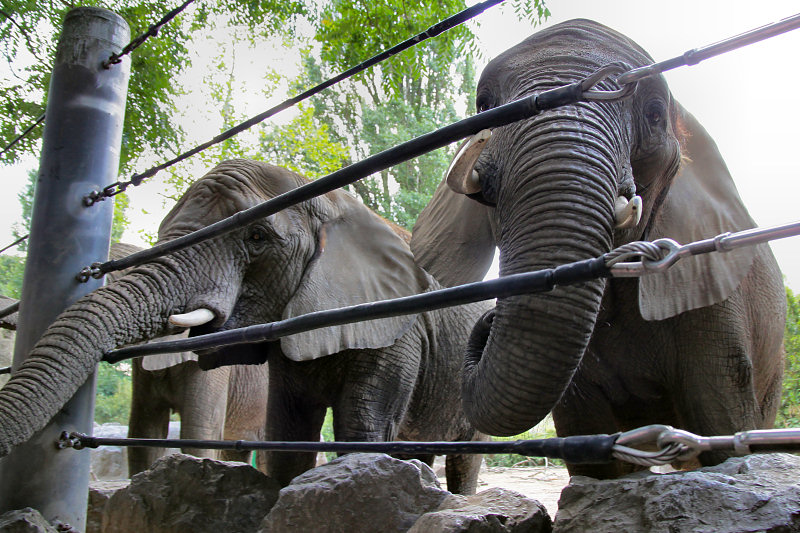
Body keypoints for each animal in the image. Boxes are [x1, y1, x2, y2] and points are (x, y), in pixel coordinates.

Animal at [0, 159, 488, 494]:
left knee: (464, 459)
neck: (333, 202)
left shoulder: (396, 328)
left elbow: (361, 431)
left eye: (256, 237)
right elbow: (286, 433)